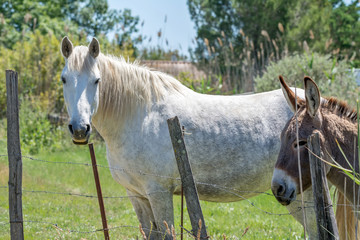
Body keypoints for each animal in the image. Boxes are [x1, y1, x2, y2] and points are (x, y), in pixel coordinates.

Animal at [60, 37, 316, 238]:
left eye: (96, 80)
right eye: (64, 79)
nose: (80, 129)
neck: (140, 115)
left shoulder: (159, 193)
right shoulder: (137, 195)